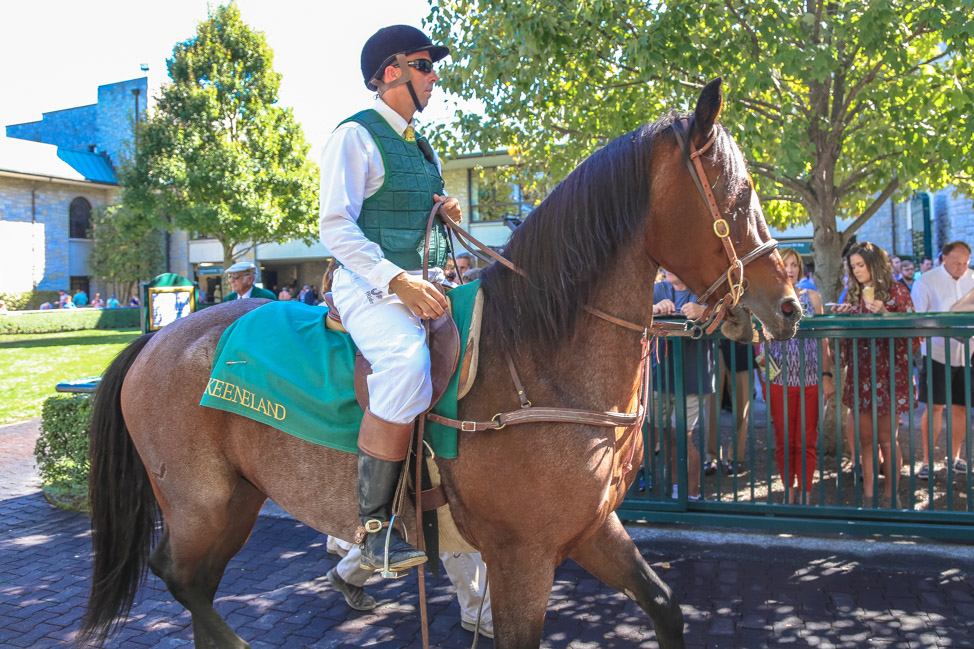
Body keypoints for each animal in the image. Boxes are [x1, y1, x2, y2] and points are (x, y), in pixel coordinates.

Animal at [82, 79, 800, 648]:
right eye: (737, 197)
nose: (788, 303)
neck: (539, 360)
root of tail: (158, 339)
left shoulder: (593, 528)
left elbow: (665, 606)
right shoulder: (522, 557)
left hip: (236, 499)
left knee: (194, 581)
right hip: (199, 502)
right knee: (178, 577)